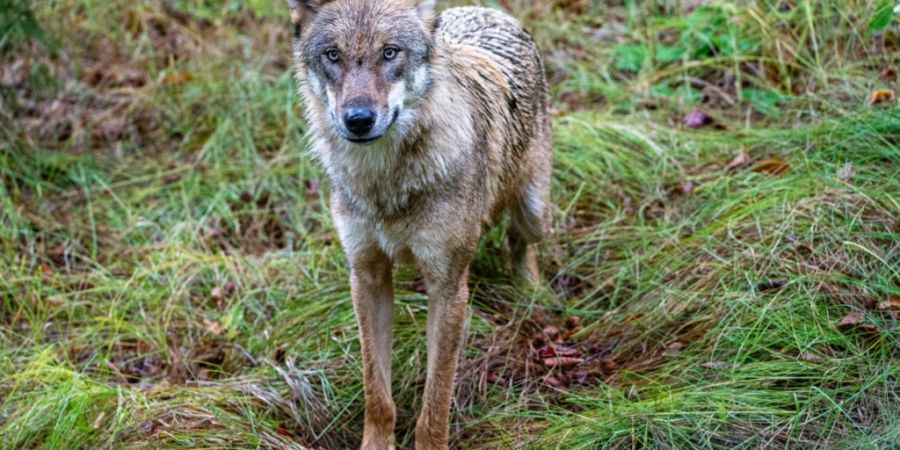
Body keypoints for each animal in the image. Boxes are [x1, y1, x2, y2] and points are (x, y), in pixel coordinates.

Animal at [287, 0, 552, 448]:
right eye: (333, 55)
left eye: (389, 53)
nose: (358, 119)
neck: (386, 185)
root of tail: (490, 12)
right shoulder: (367, 276)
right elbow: (377, 391)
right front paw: (376, 444)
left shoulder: (448, 289)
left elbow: (436, 397)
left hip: (534, 210)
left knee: (521, 242)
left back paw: (532, 293)